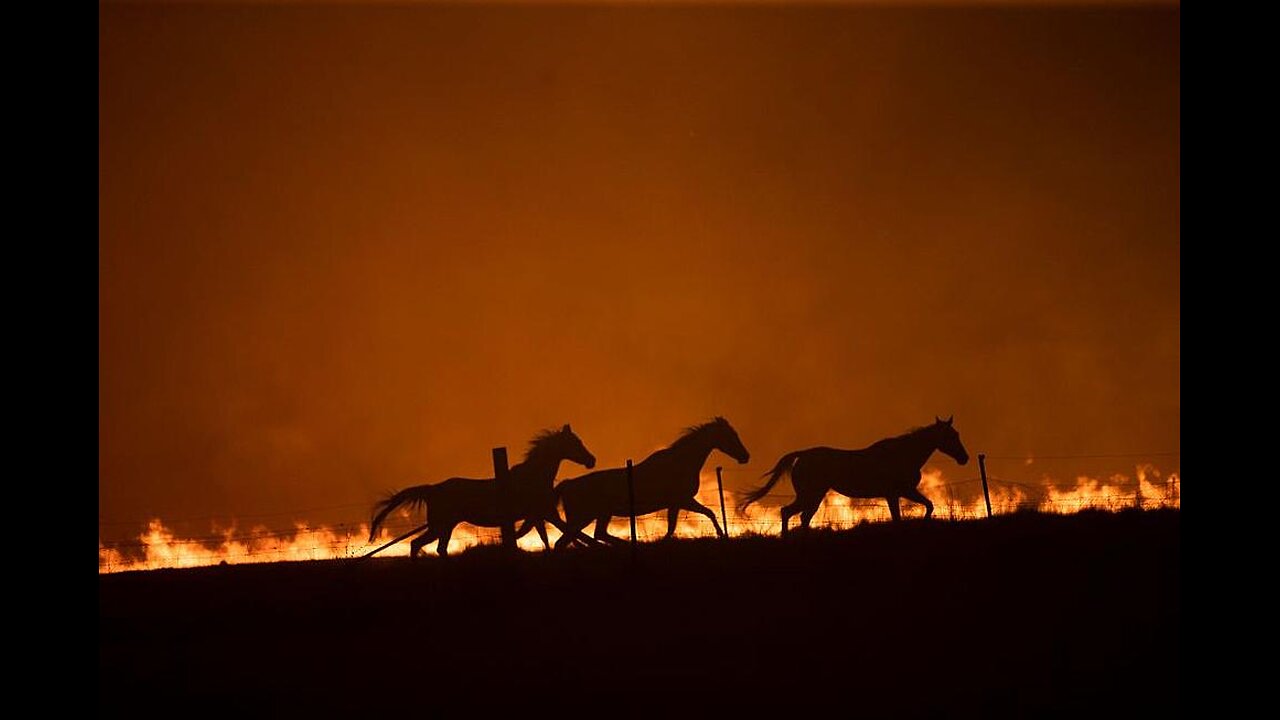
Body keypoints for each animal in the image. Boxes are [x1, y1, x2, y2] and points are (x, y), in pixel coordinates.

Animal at [366, 422, 593, 558]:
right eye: (575, 442)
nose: (592, 460)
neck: (532, 477)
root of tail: (432, 489)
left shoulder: (537, 516)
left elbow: (545, 537)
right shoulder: (546, 512)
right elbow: (567, 532)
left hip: (446, 526)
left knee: (437, 548)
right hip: (439, 525)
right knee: (417, 544)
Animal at [542, 412, 747, 545]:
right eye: (731, 435)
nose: (745, 456)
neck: (680, 462)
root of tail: (567, 484)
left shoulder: (676, 503)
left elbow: (675, 526)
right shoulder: (683, 500)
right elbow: (708, 513)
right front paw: (722, 534)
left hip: (598, 516)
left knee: (594, 535)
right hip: (584, 517)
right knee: (571, 541)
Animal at [742, 417, 967, 530]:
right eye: (952, 435)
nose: (964, 458)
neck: (902, 453)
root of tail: (803, 454)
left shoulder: (902, 492)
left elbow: (928, 506)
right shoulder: (897, 493)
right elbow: (904, 516)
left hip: (813, 496)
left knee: (801, 517)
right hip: (810, 495)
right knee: (789, 513)